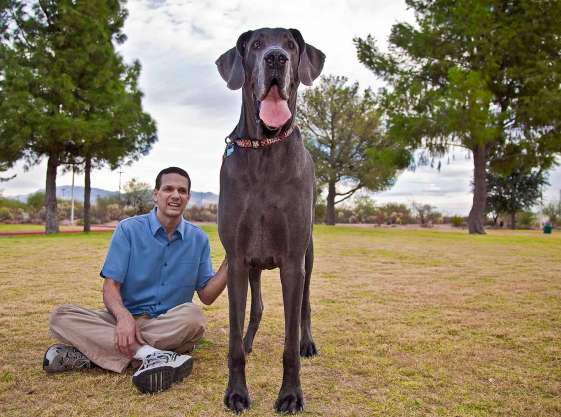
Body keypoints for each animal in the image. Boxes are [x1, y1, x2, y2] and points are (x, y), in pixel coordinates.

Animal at [217, 27, 326, 412]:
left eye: (291, 45)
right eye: (256, 45)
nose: (276, 57)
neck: (263, 149)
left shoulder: (292, 261)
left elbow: (289, 343)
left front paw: (291, 394)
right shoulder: (236, 259)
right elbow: (235, 339)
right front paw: (236, 392)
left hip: (308, 254)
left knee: (306, 306)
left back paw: (308, 341)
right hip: (253, 265)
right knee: (257, 308)